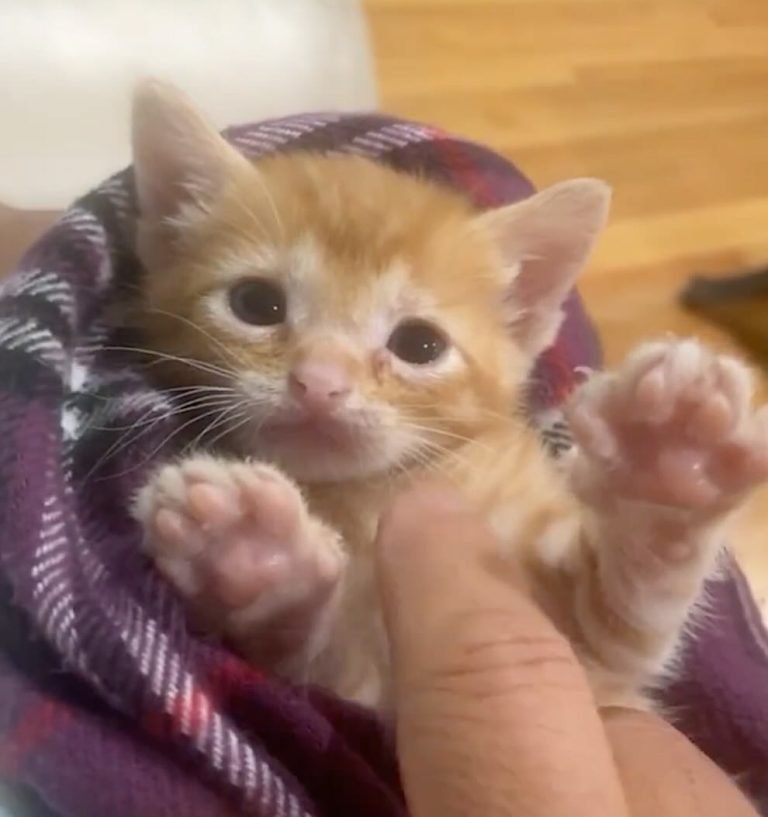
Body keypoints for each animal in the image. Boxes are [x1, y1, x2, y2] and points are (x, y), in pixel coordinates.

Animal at [129, 79, 768, 710]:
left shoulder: (596, 669)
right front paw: (250, 559)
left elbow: (617, 605)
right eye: (257, 305)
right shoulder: (351, 694)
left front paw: (670, 456)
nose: (320, 382)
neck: (369, 496)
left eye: (419, 344)